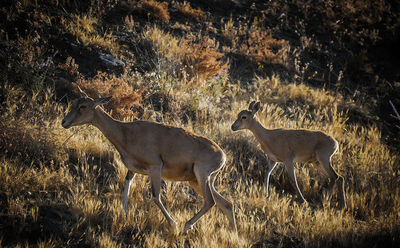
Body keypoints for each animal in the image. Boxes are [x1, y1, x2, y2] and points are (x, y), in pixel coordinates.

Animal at [61, 87, 236, 234]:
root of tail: (222, 156)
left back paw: (186, 227)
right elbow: (127, 187)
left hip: (202, 175)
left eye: (83, 106)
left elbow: (155, 197)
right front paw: (124, 214)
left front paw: (173, 224)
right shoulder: (132, 170)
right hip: (197, 181)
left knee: (210, 202)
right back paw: (232, 232)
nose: (64, 122)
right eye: (74, 103)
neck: (126, 133)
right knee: (226, 203)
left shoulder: (155, 168)